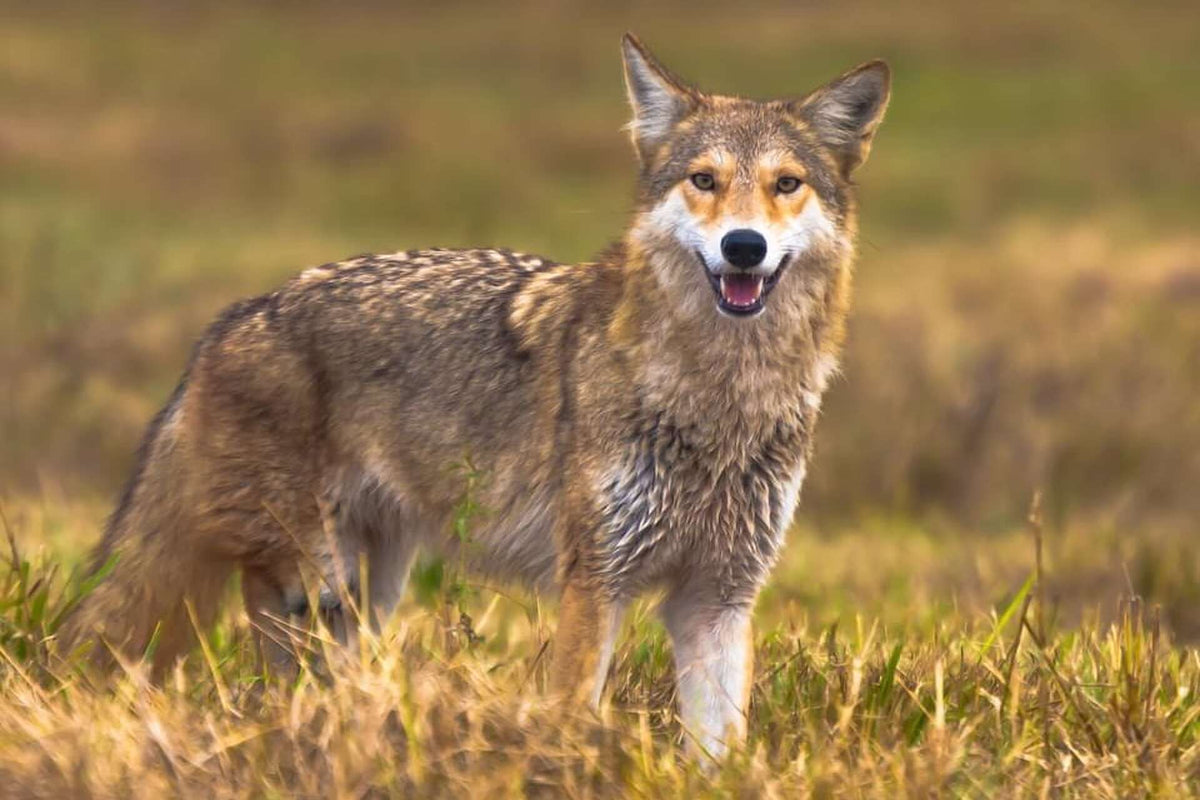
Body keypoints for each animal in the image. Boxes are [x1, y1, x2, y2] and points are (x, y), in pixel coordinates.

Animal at [61, 34, 889, 757]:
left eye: (786, 184)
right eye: (705, 180)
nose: (743, 246)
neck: (720, 403)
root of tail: (233, 318)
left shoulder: (716, 600)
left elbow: (719, 751)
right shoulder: (595, 583)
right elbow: (571, 714)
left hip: (370, 591)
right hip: (313, 580)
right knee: (271, 660)